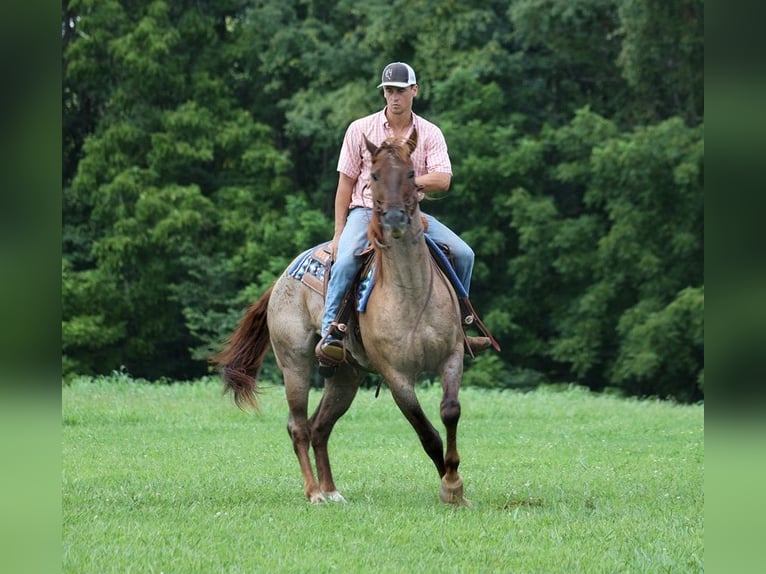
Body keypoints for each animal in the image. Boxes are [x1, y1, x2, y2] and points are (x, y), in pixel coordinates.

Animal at [210, 128, 488, 506]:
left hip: (345, 376)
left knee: (320, 426)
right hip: (295, 364)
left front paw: (455, 485)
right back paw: (314, 492)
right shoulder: (396, 374)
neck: (411, 292)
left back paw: (332, 491)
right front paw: (449, 485)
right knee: (298, 425)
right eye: (373, 175)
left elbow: (449, 412)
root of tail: (281, 279)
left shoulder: (452, 357)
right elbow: (426, 431)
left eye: (412, 174)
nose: (395, 219)